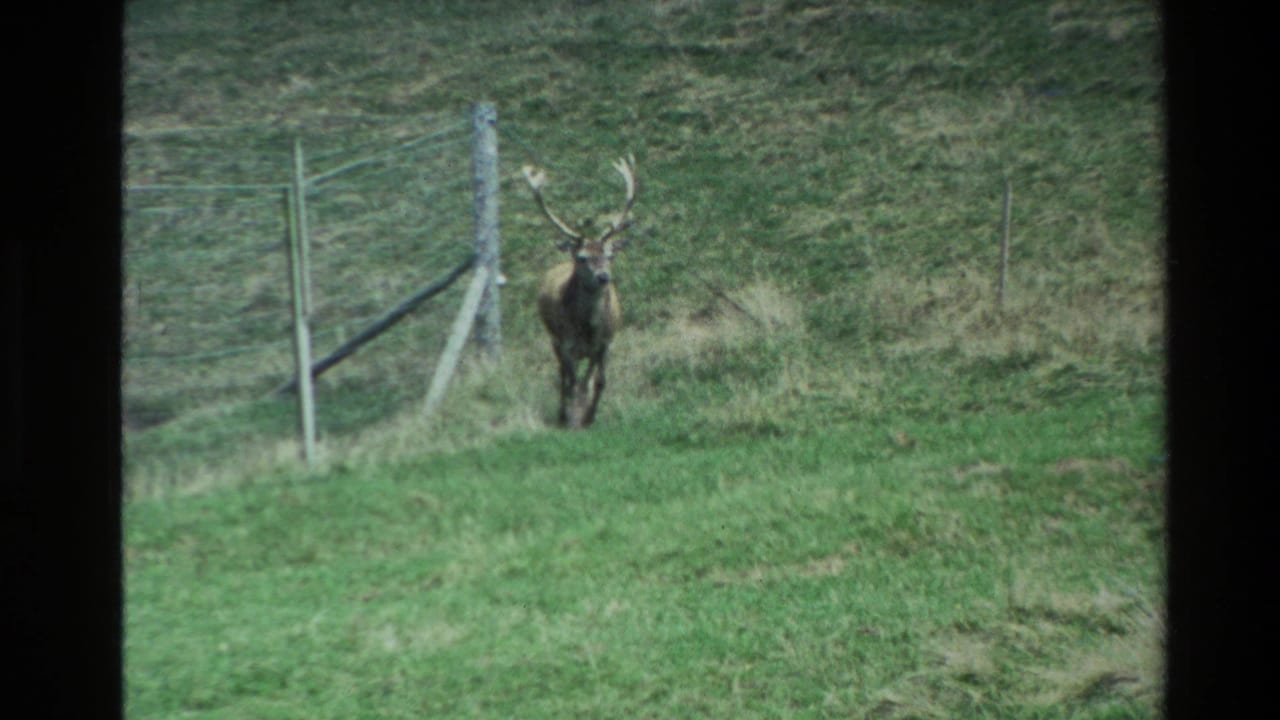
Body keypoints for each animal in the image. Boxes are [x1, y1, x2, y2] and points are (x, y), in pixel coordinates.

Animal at [522, 154, 637, 428]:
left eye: (610, 255)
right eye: (583, 257)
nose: (603, 277)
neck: (587, 329)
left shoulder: (606, 343)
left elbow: (598, 381)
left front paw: (589, 417)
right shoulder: (565, 344)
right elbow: (573, 383)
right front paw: (573, 419)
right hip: (554, 339)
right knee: (563, 377)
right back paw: (563, 413)